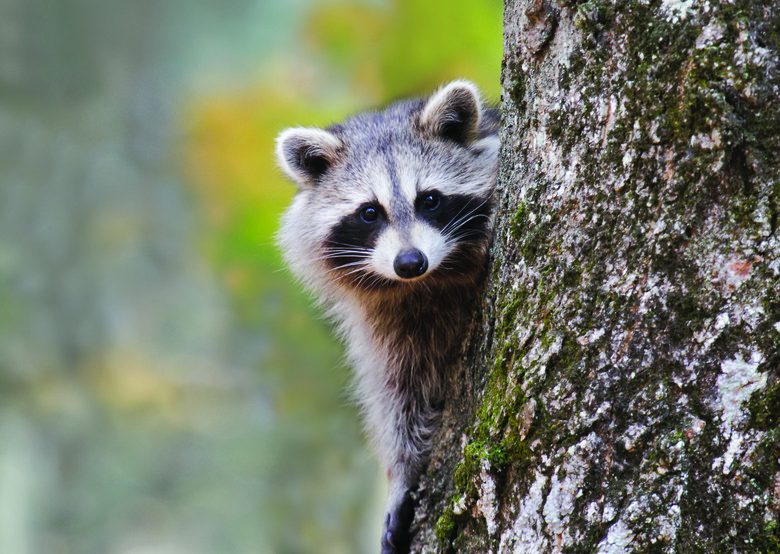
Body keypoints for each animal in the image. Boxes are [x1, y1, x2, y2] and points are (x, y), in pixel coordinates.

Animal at [274, 81, 500, 552]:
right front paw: (403, 472)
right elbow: (398, 390)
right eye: (369, 212)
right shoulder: (385, 321)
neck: (425, 284)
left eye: (429, 200)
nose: (410, 262)